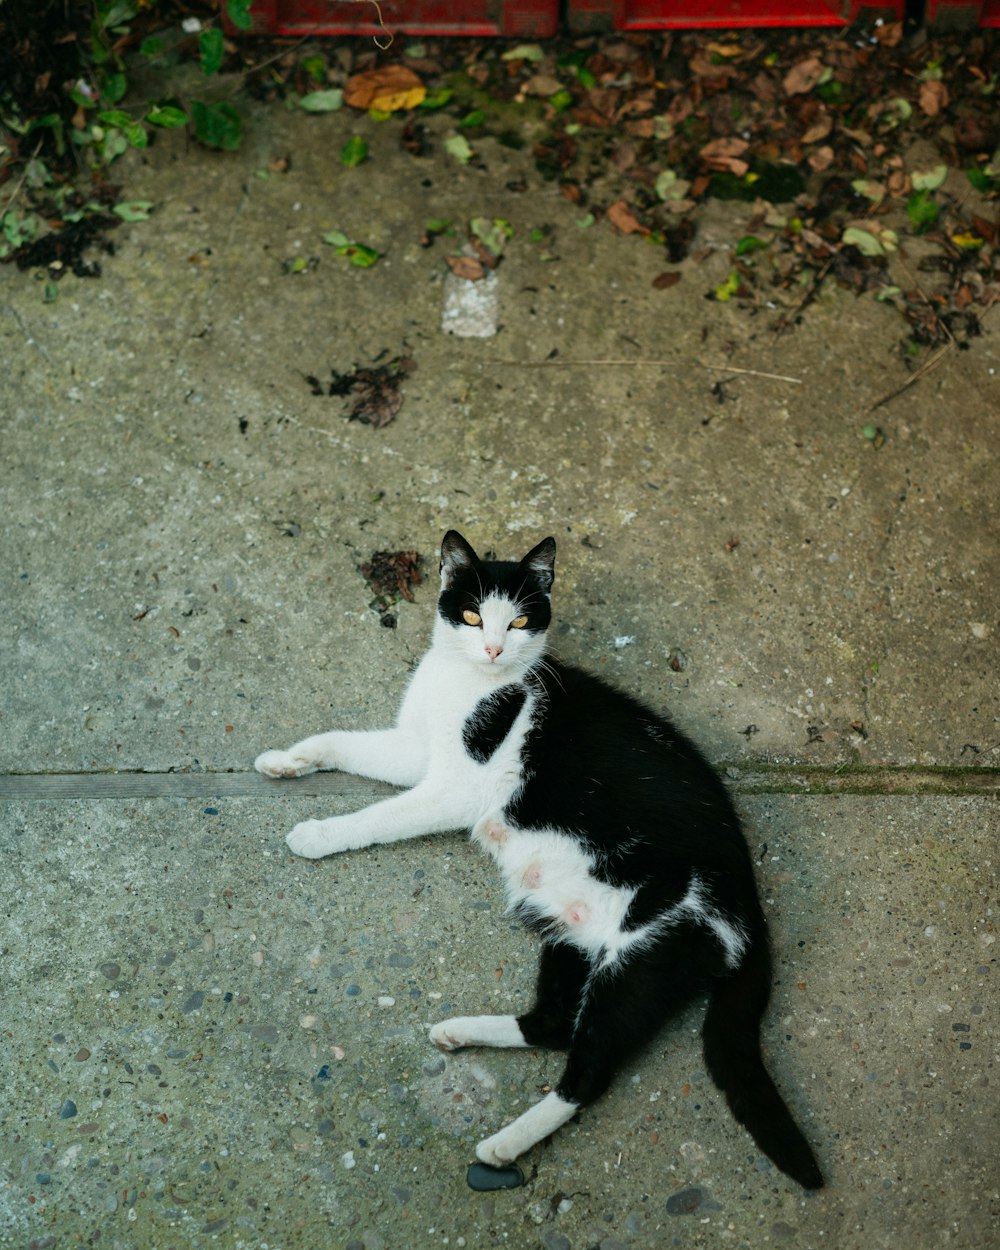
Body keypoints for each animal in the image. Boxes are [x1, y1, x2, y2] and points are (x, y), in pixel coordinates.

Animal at [253, 530, 825, 1190]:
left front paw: (317, 834)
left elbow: (379, 817)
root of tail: (752, 907)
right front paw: (284, 760)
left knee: (589, 1069)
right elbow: (340, 742)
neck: (467, 682)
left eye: (521, 620)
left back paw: (503, 1144)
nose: (495, 647)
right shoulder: (414, 752)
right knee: (552, 1025)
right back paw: (462, 1033)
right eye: (473, 615)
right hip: (570, 934)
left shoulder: (456, 789)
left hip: (643, 955)